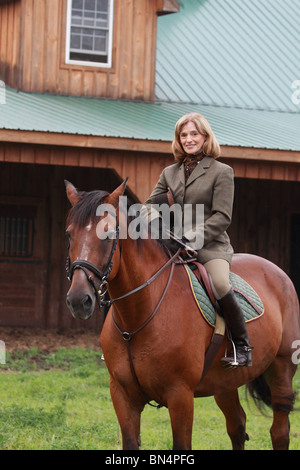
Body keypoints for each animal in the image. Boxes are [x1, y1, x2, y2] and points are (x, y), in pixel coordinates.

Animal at [64, 181, 298, 452]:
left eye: (109, 233)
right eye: (69, 234)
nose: (79, 300)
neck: (137, 318)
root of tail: (277, 271)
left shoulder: (180, 396)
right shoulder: (122, 396)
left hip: (282, 367)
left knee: (279, 431)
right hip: (225, 383)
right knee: (237, 427)